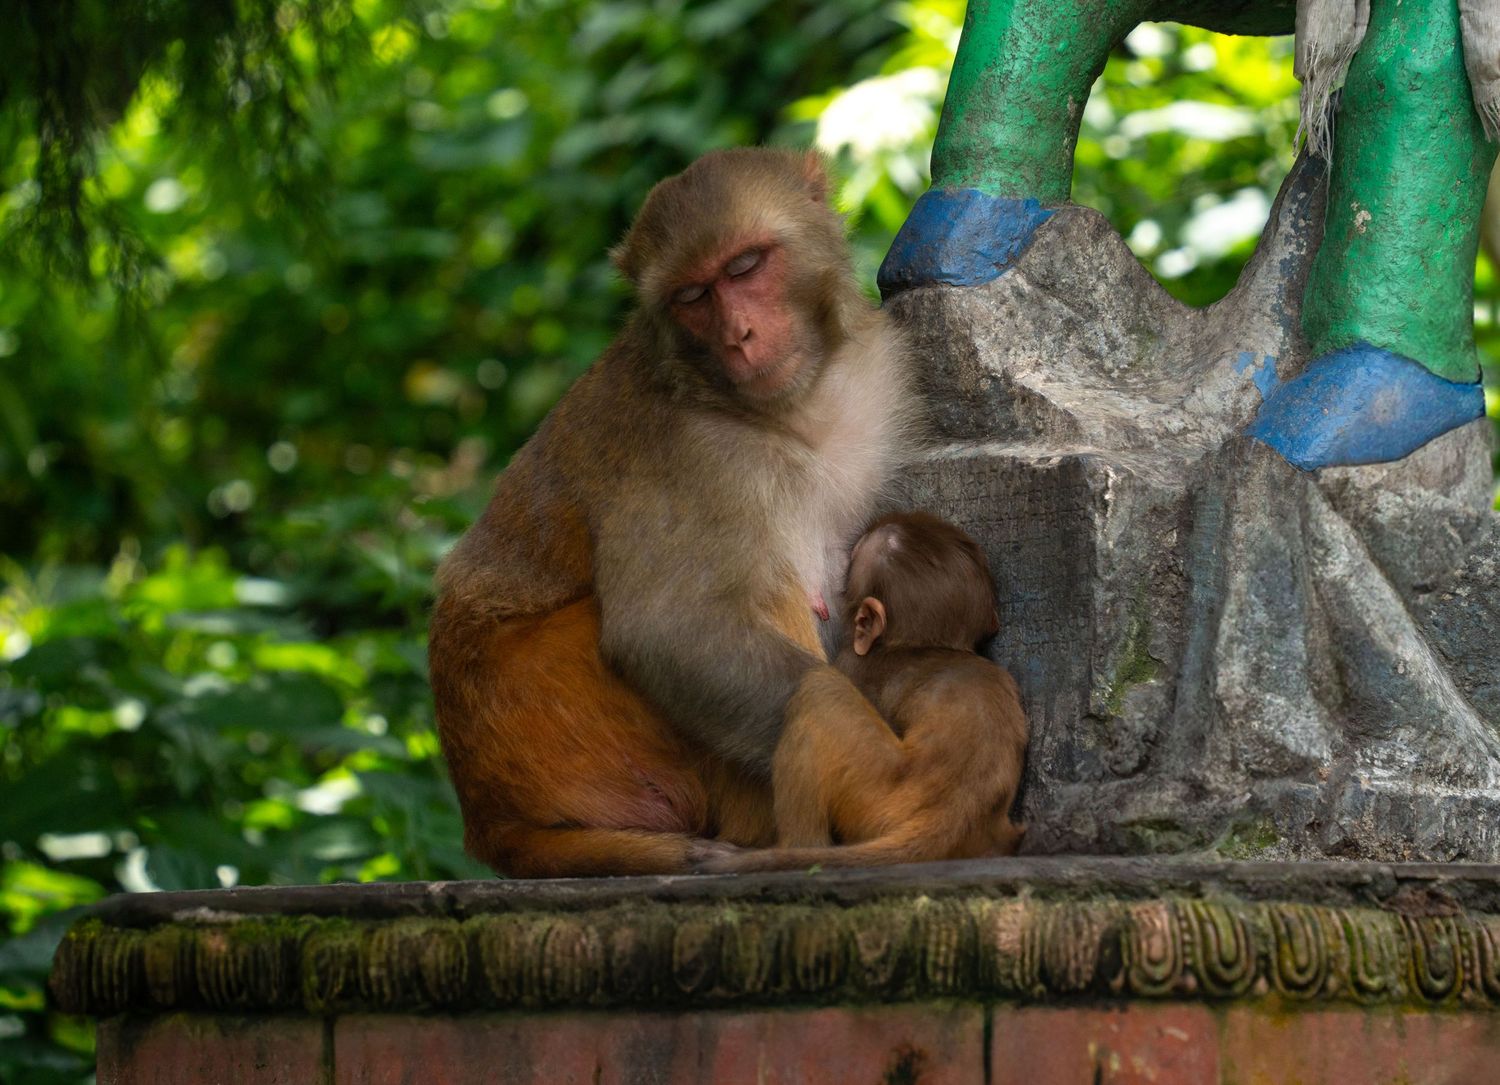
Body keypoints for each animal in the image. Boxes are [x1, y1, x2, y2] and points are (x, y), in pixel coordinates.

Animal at [428, 147, 918, 877]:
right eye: (691, 298)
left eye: (744, 266)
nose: (741, 336)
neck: (791, 412)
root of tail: (491, 821)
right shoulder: (691, 456)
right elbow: (669, 630)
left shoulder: (884, 374)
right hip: (563, 720)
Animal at [703, 511, 1029, 873]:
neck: (918, 645)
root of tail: (951, 816)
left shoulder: (853, 662)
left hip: (877, 798)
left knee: (819, 687)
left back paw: (796, 847)